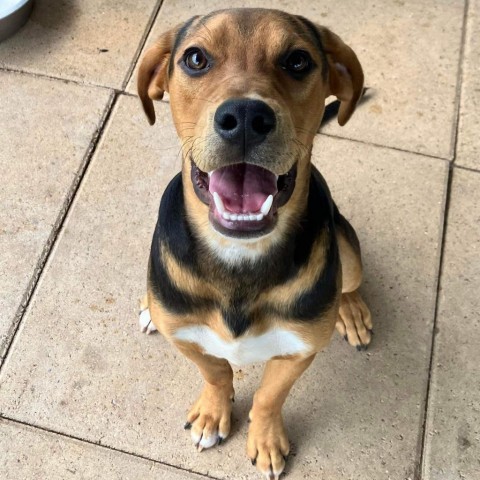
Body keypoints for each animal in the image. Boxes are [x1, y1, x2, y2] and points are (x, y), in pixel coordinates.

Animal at [137, 8, 374, 480]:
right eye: (195, 58)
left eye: (298, 61)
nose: (246, 116)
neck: (239, 257)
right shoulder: (186, 338)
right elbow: (215, 371)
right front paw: (214, 413)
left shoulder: (298, 350)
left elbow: (268, 397)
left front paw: (265, 440)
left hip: (346, 245)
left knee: (351, 281)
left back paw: (351, 310)